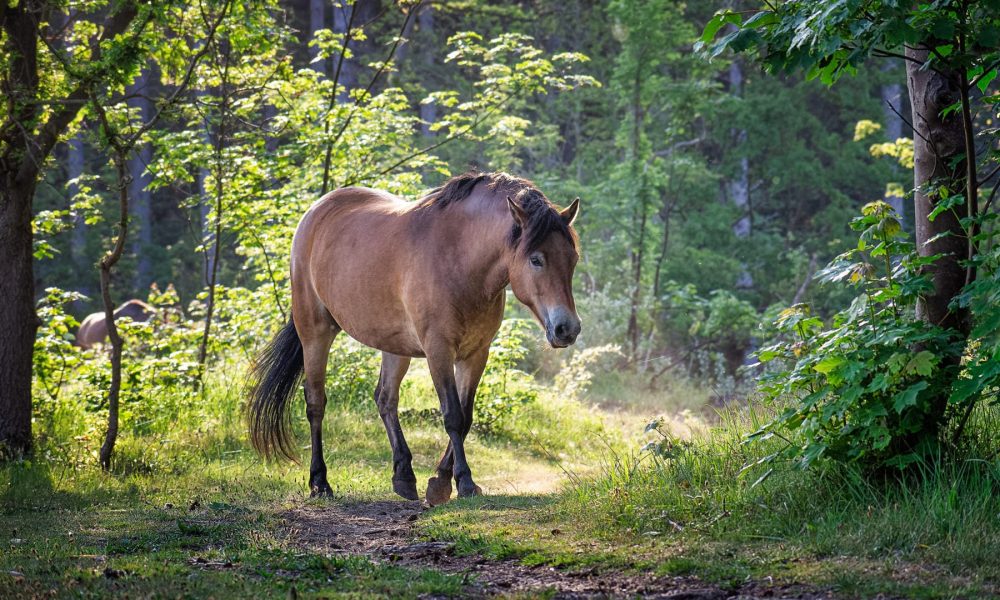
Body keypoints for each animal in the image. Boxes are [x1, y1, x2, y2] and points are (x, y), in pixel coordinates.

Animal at [245, 171, 584, 504]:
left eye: (572, 259)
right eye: (536, 259)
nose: (567, 328)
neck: (458, 256)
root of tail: (316, 211)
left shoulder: (476, 354)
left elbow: (466, 416)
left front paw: (441, 480)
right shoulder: (439, 350)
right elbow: (453, 415)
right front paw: (463, 482)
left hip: (394, 346)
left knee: (385, 399)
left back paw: (404, 476)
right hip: (315, 332)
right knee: (316, 403)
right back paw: (320, 482)